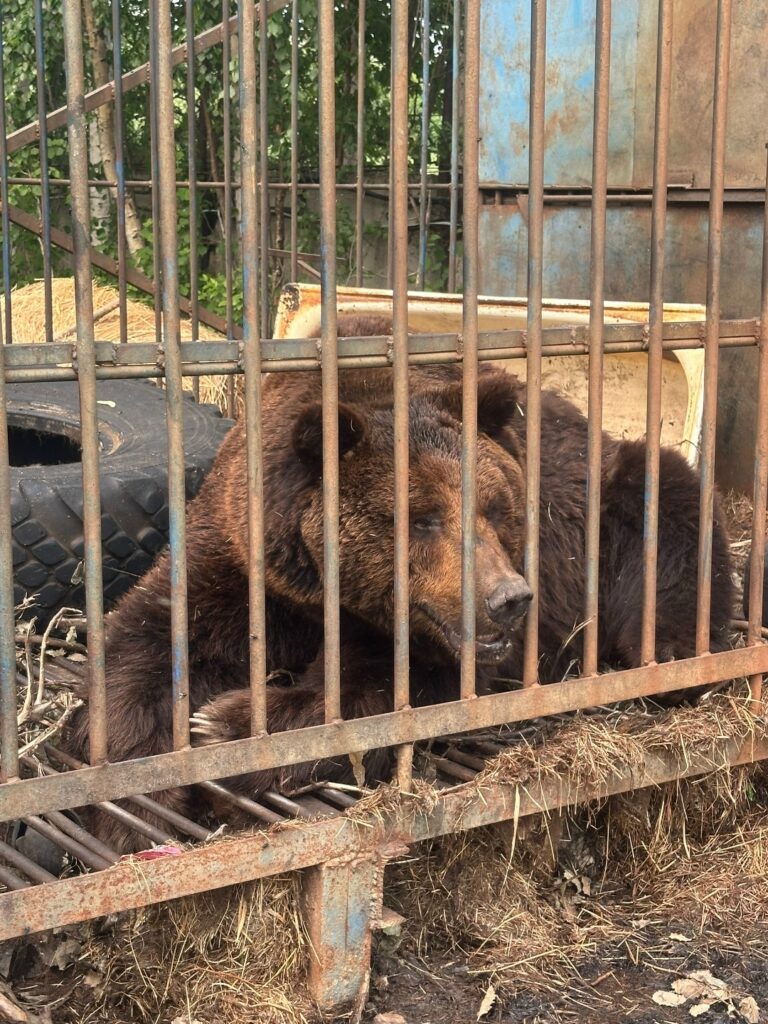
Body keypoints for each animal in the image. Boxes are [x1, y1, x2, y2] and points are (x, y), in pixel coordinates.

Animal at [66, 315, 734, 850]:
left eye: (496, 508)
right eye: (423, 517)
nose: (508, 599)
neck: (329, 593)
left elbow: (390, 692)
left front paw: (225, 723)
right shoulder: (247, 560)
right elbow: (152, 640)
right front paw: (136, 808)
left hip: (613, 500)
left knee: (668, 505)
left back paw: (668, 653)